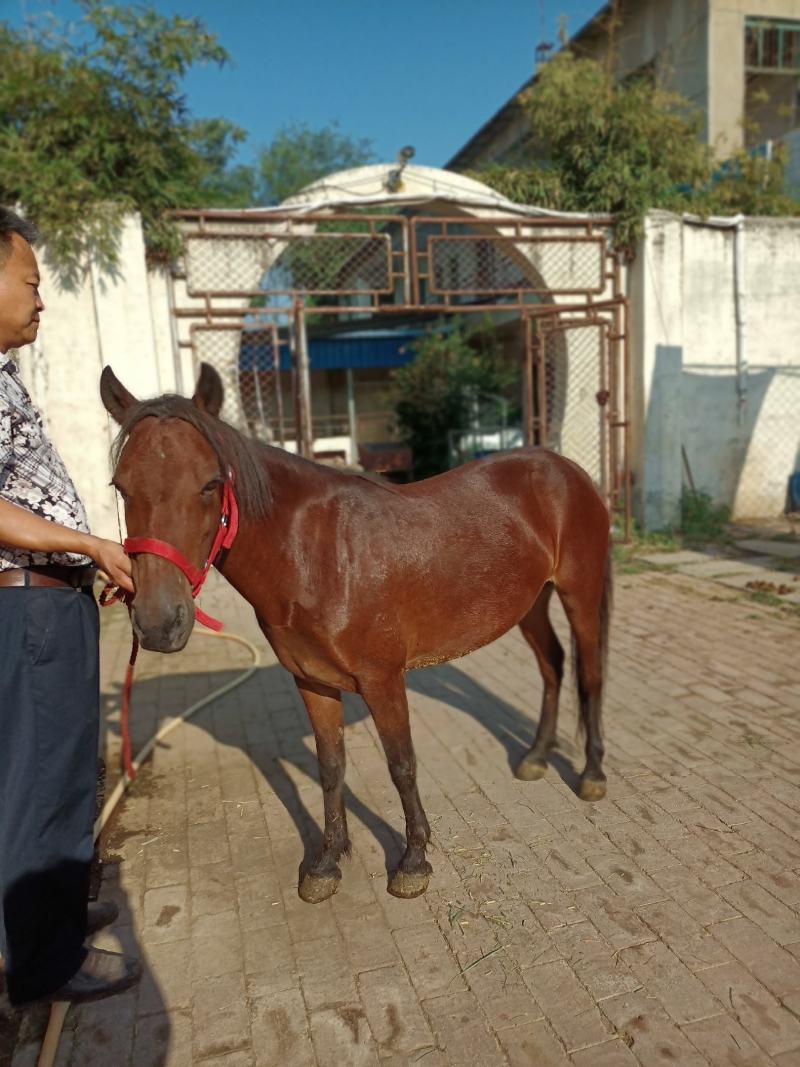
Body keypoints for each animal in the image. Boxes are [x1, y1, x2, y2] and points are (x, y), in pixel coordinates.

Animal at [101, 362, 614, 904]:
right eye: (121, 487)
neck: (316, 553)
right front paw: (327, 863)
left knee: (590, 675)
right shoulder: (312, 681)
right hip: (530, 604)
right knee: (553, 665)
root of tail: (566, 470)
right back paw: (536, 756)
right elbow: (330, 768)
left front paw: (413, 861)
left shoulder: (383, 680)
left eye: (210, 484)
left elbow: (402, 765)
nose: (159, 622)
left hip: (580, 593)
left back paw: (592, 774)